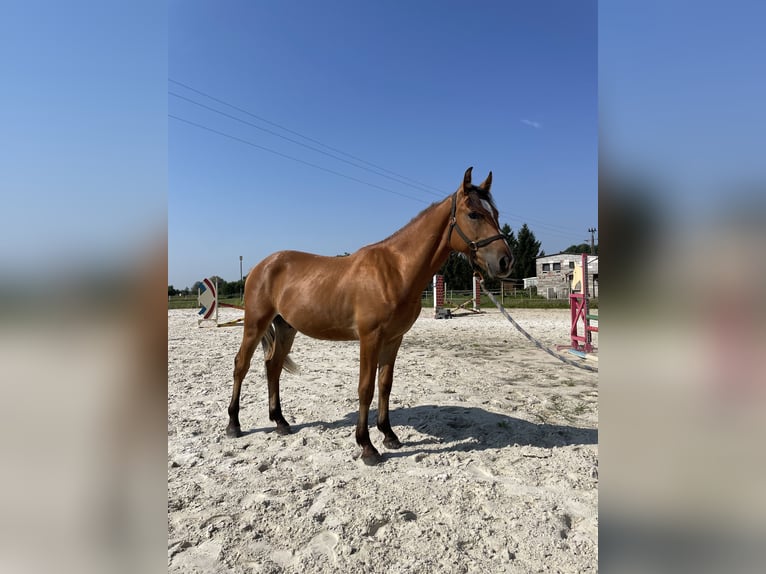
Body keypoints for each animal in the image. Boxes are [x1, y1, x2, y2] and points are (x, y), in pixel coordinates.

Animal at [228, 169, 516, 466]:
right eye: (474, 214)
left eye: (495, 212)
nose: (505, 261)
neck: (395, 270)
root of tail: (261, 266)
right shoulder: (370, 338)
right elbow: (365, 388)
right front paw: (366, 445)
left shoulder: (394, 339)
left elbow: (385, 384)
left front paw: (388, 435)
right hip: (255, 325)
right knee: (241, 365)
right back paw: (234, 425)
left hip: (286, 328)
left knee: (273, 367)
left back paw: (280, 422)